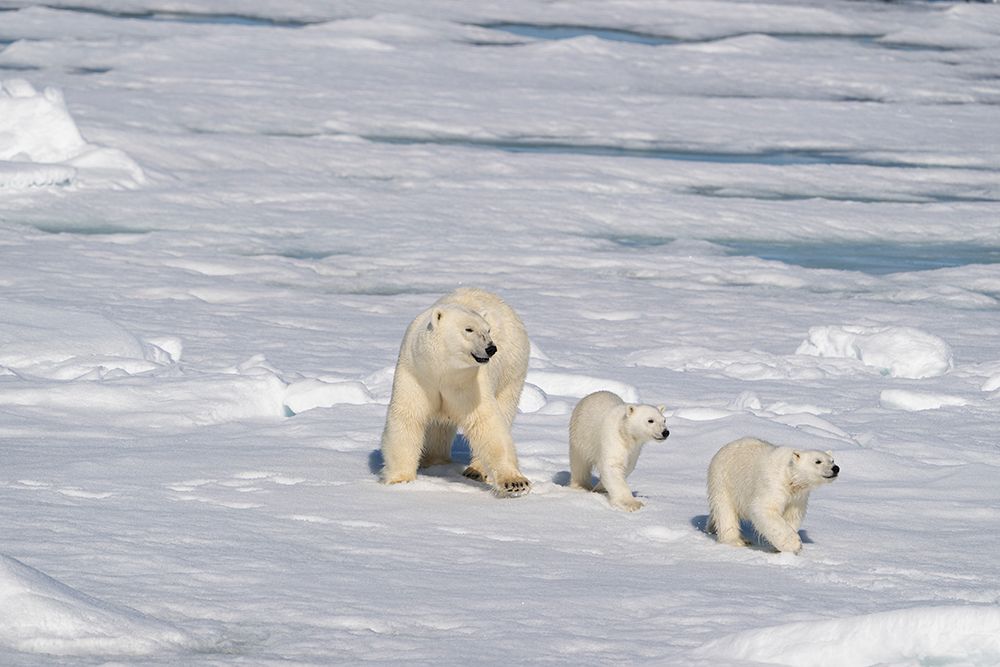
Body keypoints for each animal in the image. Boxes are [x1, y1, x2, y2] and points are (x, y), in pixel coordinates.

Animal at [380, 287, 532, 497]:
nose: (491, 348)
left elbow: (486, 423)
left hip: (512, 370)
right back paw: (433, 460)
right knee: (438, 427)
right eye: (469, 329)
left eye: (488, 330)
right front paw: (400, 480)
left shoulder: (469, 382)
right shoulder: (416, 373)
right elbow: (408, 417)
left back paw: (475, 470)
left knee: (505, 407)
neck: (442, 370)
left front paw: (515, 483)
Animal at [706, 437, 839, 553]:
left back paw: (710, 528)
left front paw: (778, 547)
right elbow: (765, 509)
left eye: (832, 460)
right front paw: (794, 544)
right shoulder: (773, 484)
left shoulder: (798, 497)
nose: (836, 468)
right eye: (818, 461)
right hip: (723, 480)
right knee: (725, 511)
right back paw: (736, 540)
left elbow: (792, 515)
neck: (789, 476)